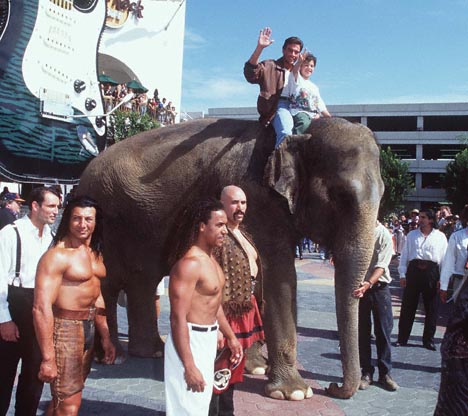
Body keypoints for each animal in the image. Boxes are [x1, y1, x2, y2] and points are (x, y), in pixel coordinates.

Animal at [77, 116, 384, 400]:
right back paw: (112, 356)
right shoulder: (260, 200)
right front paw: (294, 393)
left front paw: (256, 367)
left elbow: (259, 274)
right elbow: (280, 276)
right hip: (110, 223)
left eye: (383, 193)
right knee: (110, 284)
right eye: (341, 196)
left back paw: (152, 351)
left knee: (144, 279)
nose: (334, 388)